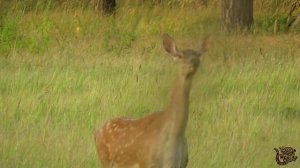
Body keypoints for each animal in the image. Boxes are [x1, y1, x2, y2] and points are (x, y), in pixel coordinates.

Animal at [95, 33, 210, 167]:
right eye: (180, 55)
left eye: (198, 54)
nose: (194, 61)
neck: (175, 135)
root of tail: (97, 132)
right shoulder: (147, 162)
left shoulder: (182, 163)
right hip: (105, 159)